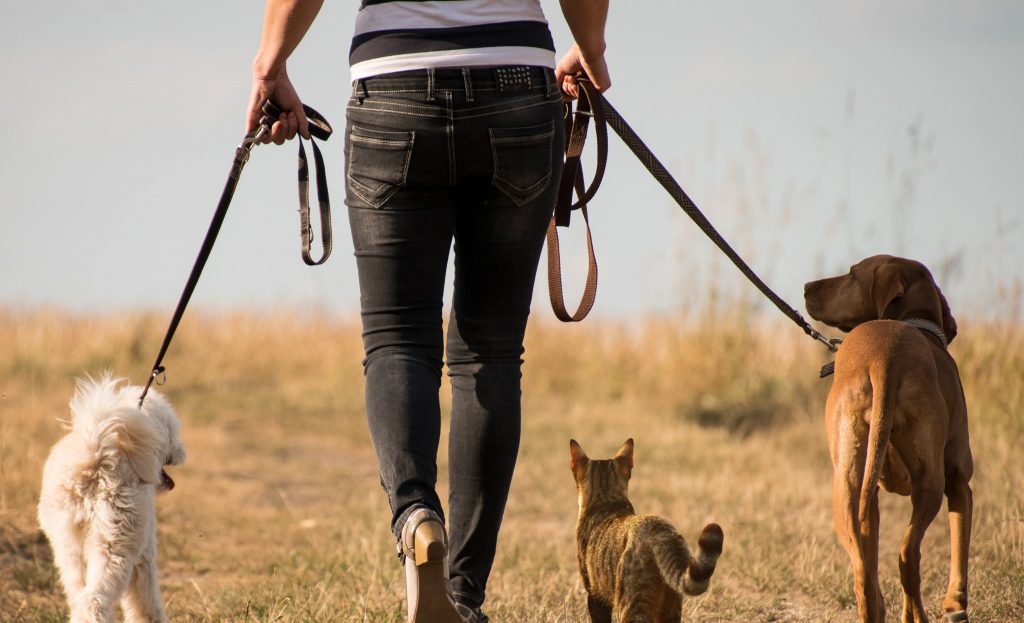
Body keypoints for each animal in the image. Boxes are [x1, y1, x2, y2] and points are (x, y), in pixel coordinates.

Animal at [38, 375, 186, 623]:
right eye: (172, 430)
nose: (182, 451)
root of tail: (96, 452)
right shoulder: (144, 557)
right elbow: (145, 600)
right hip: (114, 547)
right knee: (93, 600)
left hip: (68, 549)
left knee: (79, 597)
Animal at [802, 254, 970, 623]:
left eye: (852, 274)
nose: (806, 286)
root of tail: (885, 358)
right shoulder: (959, 482)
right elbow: (959, 547)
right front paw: (955, 605)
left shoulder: (872, 495)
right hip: (930, 483)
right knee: (908, 555)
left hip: (846, 487)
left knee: (864, 571)